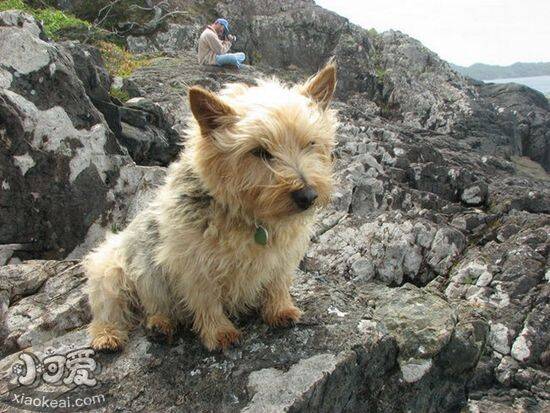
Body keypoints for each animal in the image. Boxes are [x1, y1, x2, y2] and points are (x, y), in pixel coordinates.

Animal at [84, 61, 338, 350]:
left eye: (310, 143)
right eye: (259, 151)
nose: (308, 196)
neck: (251, 218)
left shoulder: (283, 258)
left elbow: (277, 284)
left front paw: (280, 310)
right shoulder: (194, 266)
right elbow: (207, 300)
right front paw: (220, 332)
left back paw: (160, 324)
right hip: (109, 269)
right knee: (112, 309)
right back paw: (116, 333)